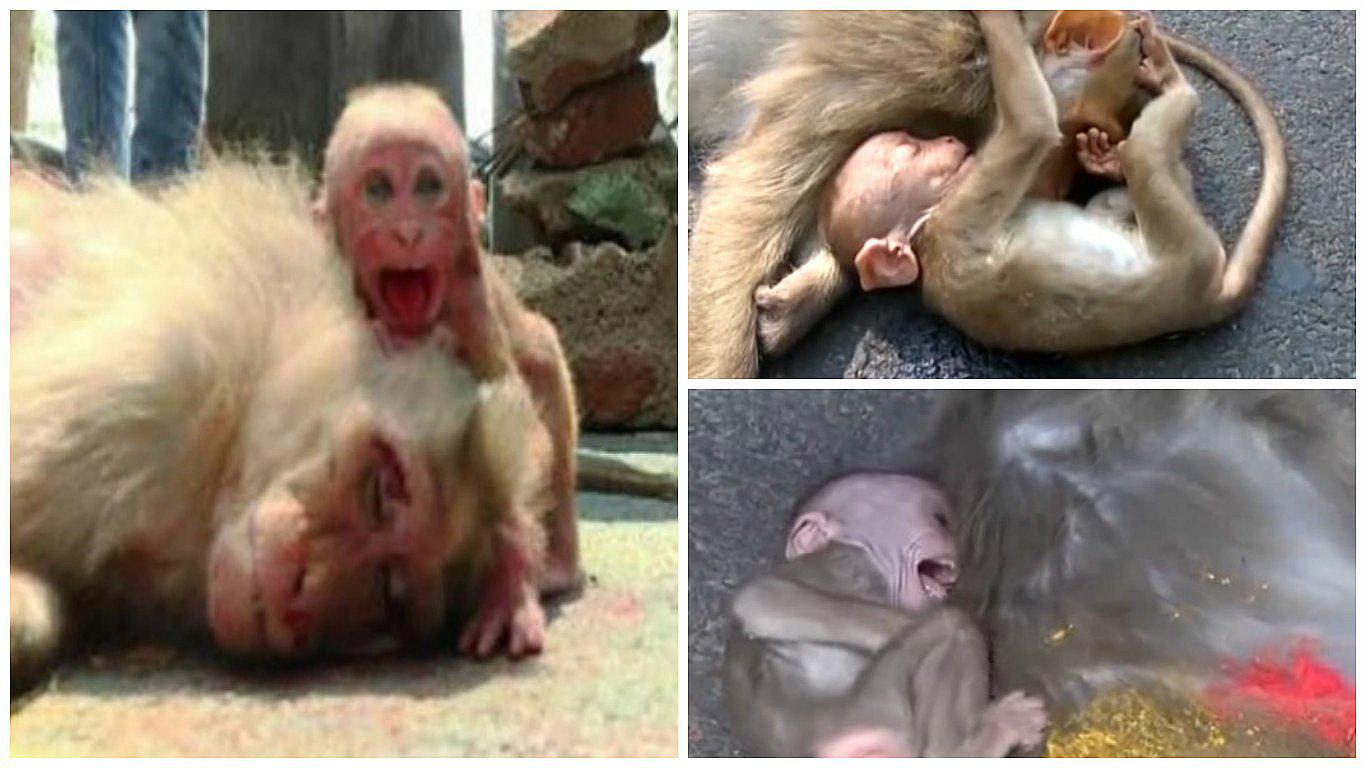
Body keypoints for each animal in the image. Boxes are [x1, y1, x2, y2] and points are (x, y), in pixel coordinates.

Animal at [314, 84, 583, 613]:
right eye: (379, 190)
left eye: (427, 186)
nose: (408, 231)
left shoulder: (469, 302)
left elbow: (514, 426)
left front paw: (508, 575)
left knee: (541, 354)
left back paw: (558, 563)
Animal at [723, 472, 1047, 757]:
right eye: (940, 520)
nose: (959, 545)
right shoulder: (849, 562)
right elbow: (761, 598)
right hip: (872, 710)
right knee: (952, 627)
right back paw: (988, 734)